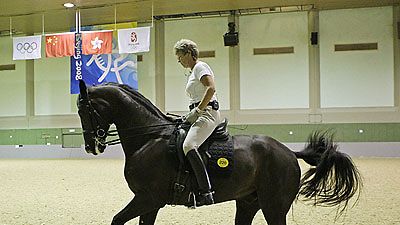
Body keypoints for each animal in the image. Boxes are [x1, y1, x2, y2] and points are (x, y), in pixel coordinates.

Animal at [77, 81, 362, 225]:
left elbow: (116, 220)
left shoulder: (148, 198)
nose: (92, 147)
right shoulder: (149, 203)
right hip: (248, 202)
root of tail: (288, 152)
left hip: (274, 207)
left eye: (84, 110)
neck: (149, 138)